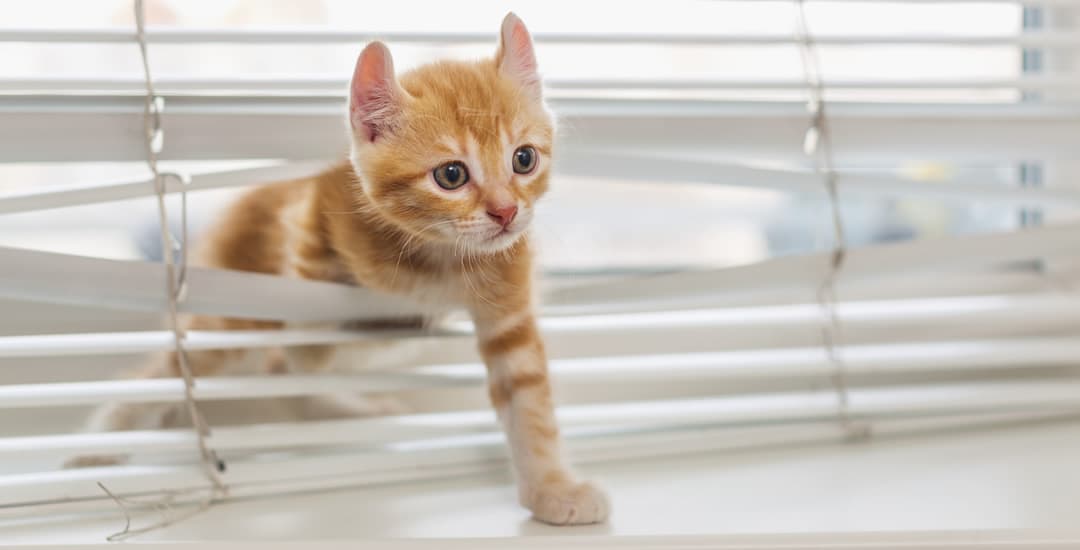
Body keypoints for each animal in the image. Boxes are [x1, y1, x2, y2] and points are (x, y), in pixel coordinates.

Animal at [67, 12, 609, 525]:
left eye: (524, 159)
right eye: (452, 175)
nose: (506, 212)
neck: (440, 255)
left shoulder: (508, 300)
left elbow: (528, 399)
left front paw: (551, 489)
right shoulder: (313, 225)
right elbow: (306, 344)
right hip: (237, 319)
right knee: (195, 365)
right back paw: (98, 443)